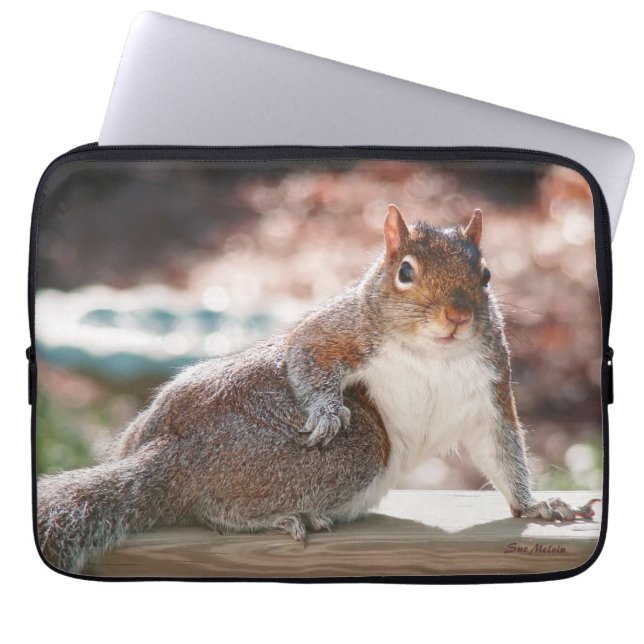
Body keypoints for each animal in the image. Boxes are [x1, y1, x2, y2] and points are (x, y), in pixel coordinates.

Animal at [37, 204, 600, 573]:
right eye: (405, 272)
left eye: (485, 273)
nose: (458, 316)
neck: (433, 353)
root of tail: (171, 453)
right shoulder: (343, 329)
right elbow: (306, 352)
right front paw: (327, 410)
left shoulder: (488, 390)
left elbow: (502, 451)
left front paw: (538, 508)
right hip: (342, 448)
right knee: (211, 509)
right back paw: (279, 517)